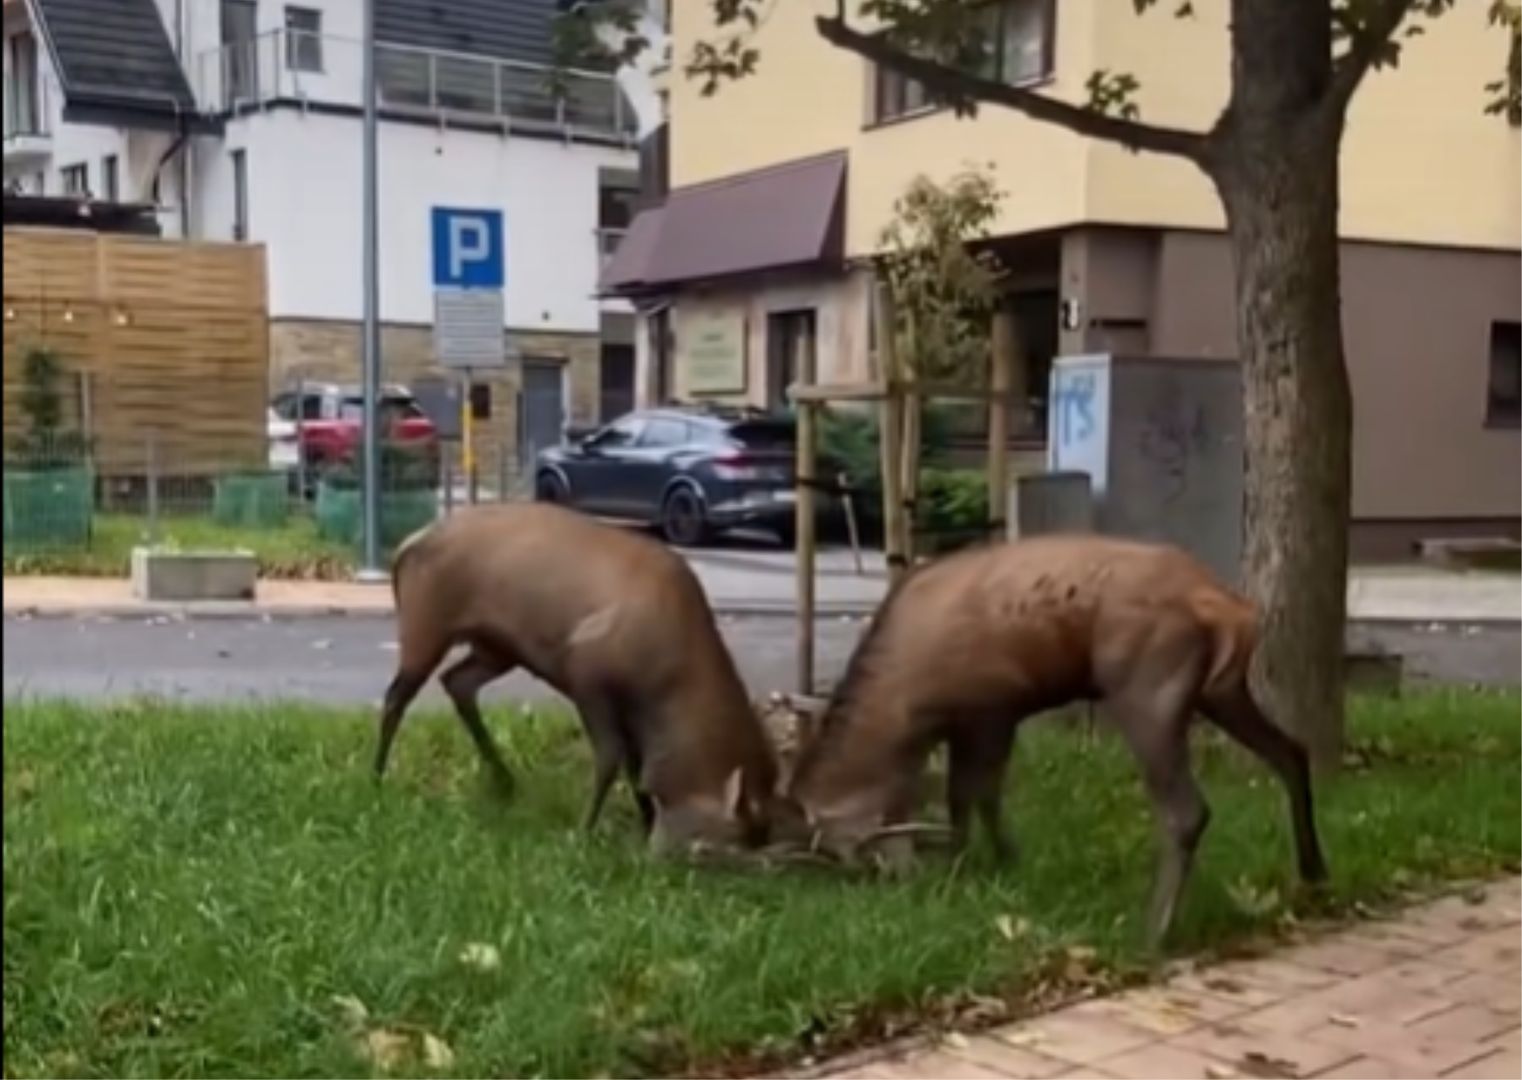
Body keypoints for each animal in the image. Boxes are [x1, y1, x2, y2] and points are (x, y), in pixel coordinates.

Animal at [375, 501, 791, 857]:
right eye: (742, 827)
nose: (764, 837)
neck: (667, 685)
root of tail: (404, 549)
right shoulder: (588, 672)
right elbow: (612, 756)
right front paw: (584, 831)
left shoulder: (632, 707)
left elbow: (636, 764)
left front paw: (644, 822)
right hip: (426, 621)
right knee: (397, 694)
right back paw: (377, 774)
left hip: (498, 647)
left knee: (457, 680)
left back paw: (505, 780)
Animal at [779, 538, 1327, 943]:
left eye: (831, 845)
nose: (881, 878)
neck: (909, 710)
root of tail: (1233, 610)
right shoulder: (973, 722)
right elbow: (969, 797)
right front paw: (980, 863)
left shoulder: (990, 708)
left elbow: (974, 792)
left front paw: (979, 862)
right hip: (1222, 690)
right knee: (1292, 752)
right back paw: (1314, 872)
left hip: (1147, 685)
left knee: (1187, 810)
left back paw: (1153, 930)